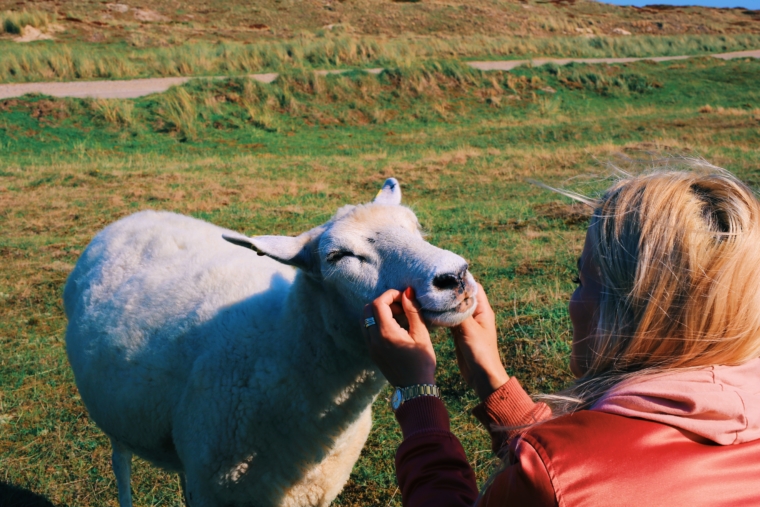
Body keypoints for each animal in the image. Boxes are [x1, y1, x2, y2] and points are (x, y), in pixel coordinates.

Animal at [67, 181, 480, 507]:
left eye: (416, 228)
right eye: (337, 256)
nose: (455, 276)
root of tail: (131, 218)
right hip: (114, 419)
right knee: (120, 462)